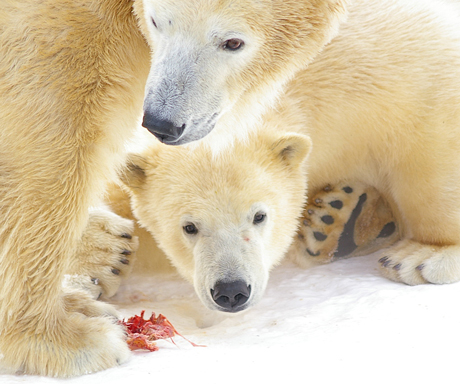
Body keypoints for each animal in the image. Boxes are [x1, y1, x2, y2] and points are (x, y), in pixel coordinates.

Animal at [0, 0, 458, 380]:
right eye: (188, 227)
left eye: (259, 216)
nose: (231, 291)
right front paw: (99, 273)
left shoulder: (377, 68)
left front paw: (424, 255)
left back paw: (342, 220)